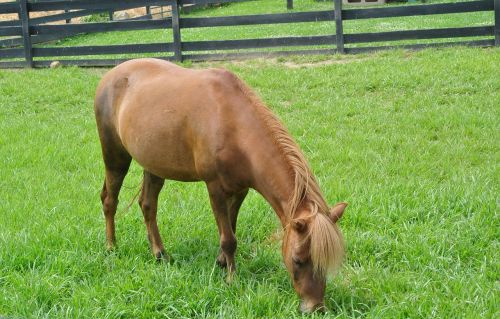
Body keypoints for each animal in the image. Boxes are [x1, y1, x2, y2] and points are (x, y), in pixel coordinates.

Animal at [94, 58, 346, 314]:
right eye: (298, 260)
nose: (315, 307)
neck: (233, 124)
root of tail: (111, 75)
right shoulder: (214, 187)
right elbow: (228, 238)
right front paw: (231, 279)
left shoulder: (240, 190)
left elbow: (230, 228)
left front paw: (222, 262)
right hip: (115, 156)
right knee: (110, 200)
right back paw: (111, 246)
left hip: (154, 165)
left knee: (147, 205)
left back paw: (160, 254)